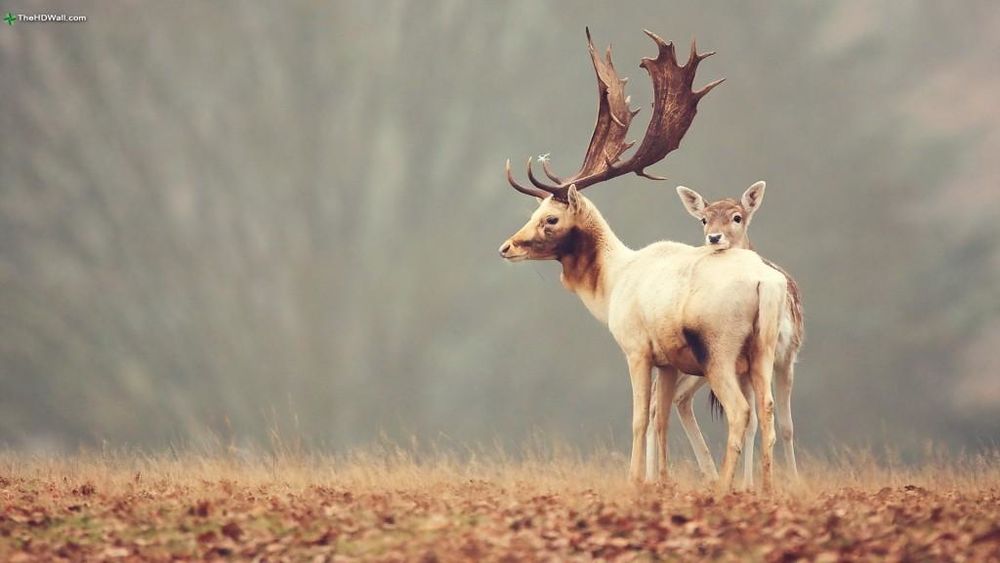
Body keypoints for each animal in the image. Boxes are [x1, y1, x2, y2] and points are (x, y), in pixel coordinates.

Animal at [500, 28, 788, 492]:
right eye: (534, 211)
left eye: (550, 218)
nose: (506, 246)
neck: (613, 283)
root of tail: (767, 283)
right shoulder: (668, 360)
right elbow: (660, 419)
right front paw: (661, 481)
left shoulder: (636, 347)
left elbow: (639, 418)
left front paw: (635, 480)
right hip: (763, 349)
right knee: (768, 410)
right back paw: (765, 488)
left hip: (719, 348)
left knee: (741, 411)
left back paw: (723, 487)